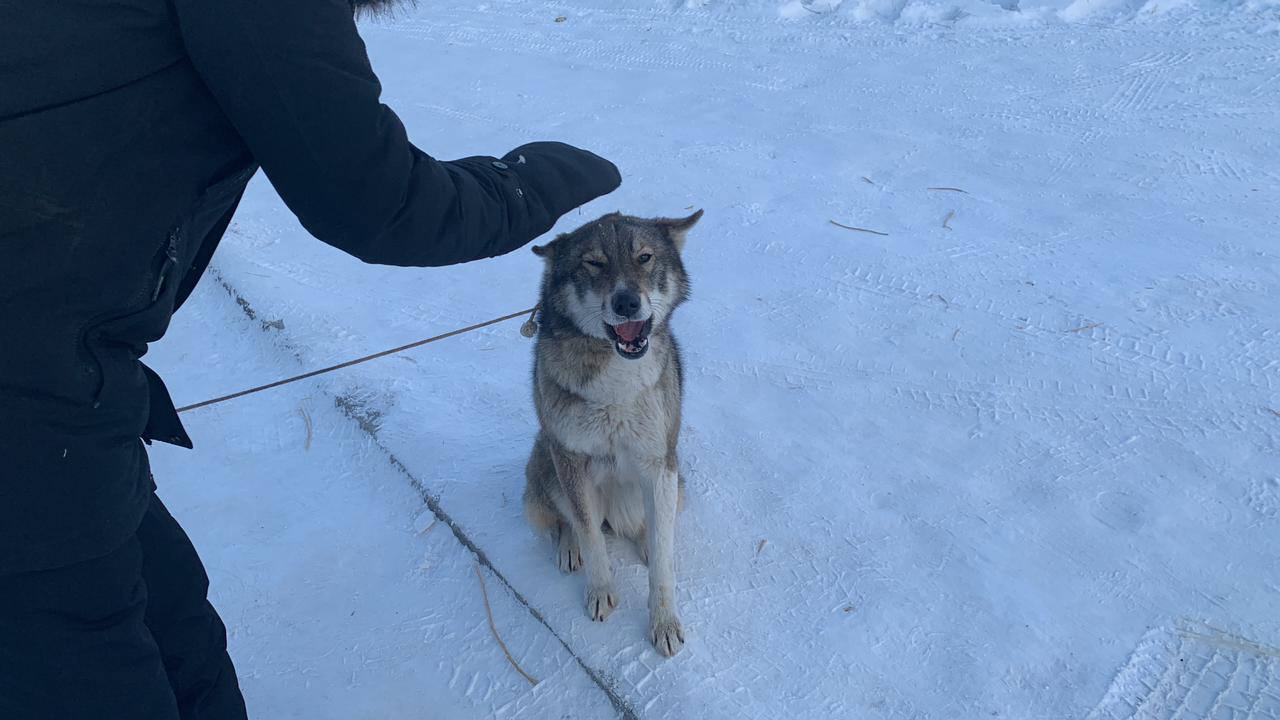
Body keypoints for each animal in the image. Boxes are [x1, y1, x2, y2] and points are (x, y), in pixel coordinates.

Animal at [517, 208, 701, 655]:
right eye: (594, 263)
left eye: (645, 257)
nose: (626, 301)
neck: (617, 384)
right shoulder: (571, 460)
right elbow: (589, 534)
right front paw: (599, 591)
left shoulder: (659, 462)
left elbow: (663, 560)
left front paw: (664, 622)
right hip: (546, 466)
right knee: (570, 520)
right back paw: (568, 548)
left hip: (677, 485)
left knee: (650, 526)